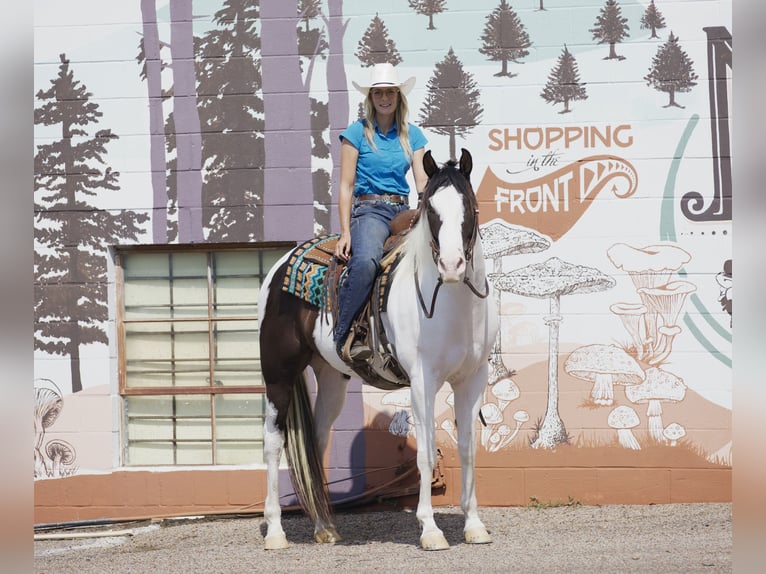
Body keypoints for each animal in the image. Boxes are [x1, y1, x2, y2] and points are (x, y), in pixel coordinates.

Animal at [258, 150, 498, 552]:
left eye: (470, 206)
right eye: (431, 211)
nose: (451, 266)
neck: (453, 306)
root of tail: (281, 265)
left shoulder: (472, 379)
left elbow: (468, 449)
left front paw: (475, 525)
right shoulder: (423, 380)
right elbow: (425, 452)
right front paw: (430, 530)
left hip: (332, 379)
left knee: (316, 442)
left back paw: (324, 527)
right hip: (278, 373)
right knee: (274, 442)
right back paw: (276, 531)